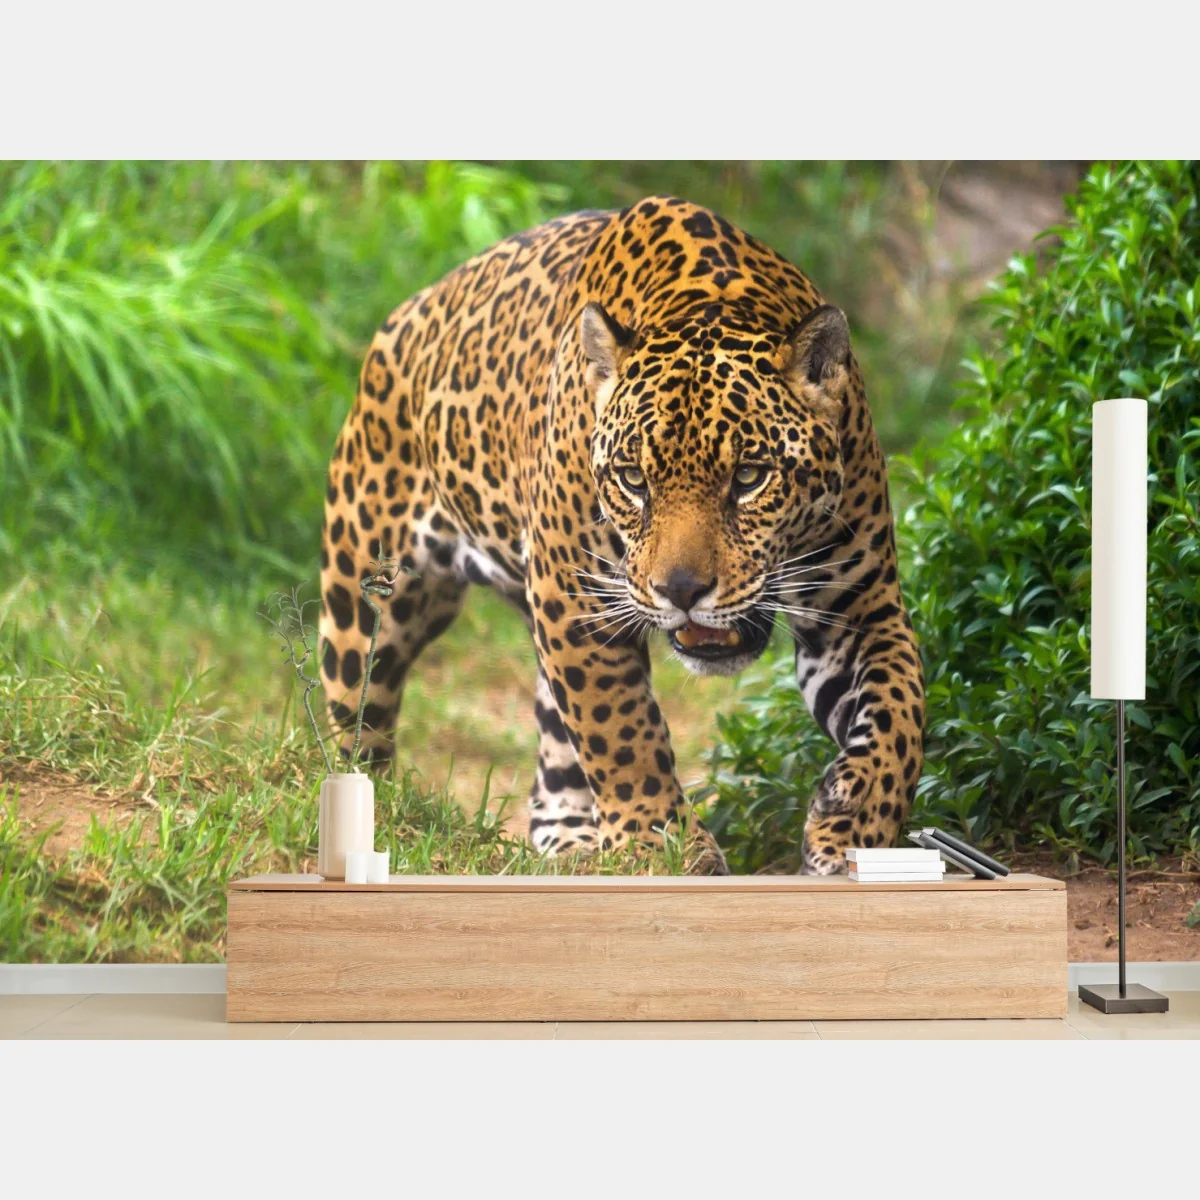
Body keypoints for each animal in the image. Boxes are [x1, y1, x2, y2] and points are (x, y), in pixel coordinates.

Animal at [319, 195, 925, 875]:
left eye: (749, 476)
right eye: (635, 479)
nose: (682, 591)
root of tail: (409, 312)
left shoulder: (860, 609)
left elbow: (901, 712)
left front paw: (852, 826)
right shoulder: (574, 598)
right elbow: (619, 729)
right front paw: (659, 847)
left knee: (556, 763)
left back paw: (573, 845)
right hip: (369, 600)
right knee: (356, 722)